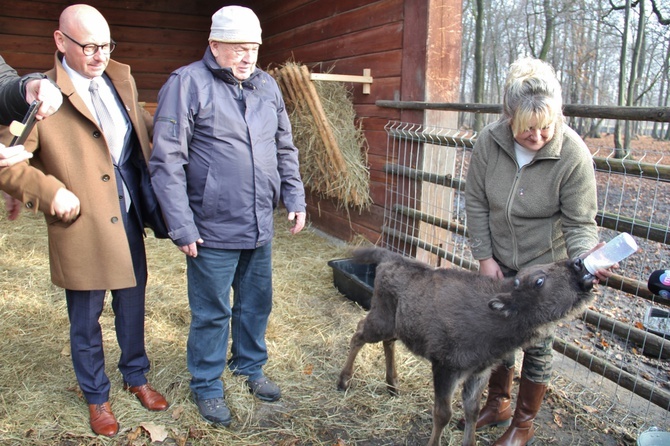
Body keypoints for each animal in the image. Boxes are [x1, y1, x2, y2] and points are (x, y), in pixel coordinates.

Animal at [338, 247, 596, 446]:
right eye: (539, 280)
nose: (577, 263)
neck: (495, 316)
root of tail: (388, 258)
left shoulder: (479, 372)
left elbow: (472, 411)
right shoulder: (445, 368)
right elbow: (443, 414)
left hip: (394, 326)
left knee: (387, 342)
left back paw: (392, 385)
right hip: (380, 320)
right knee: (358, 334)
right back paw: (344, 381)